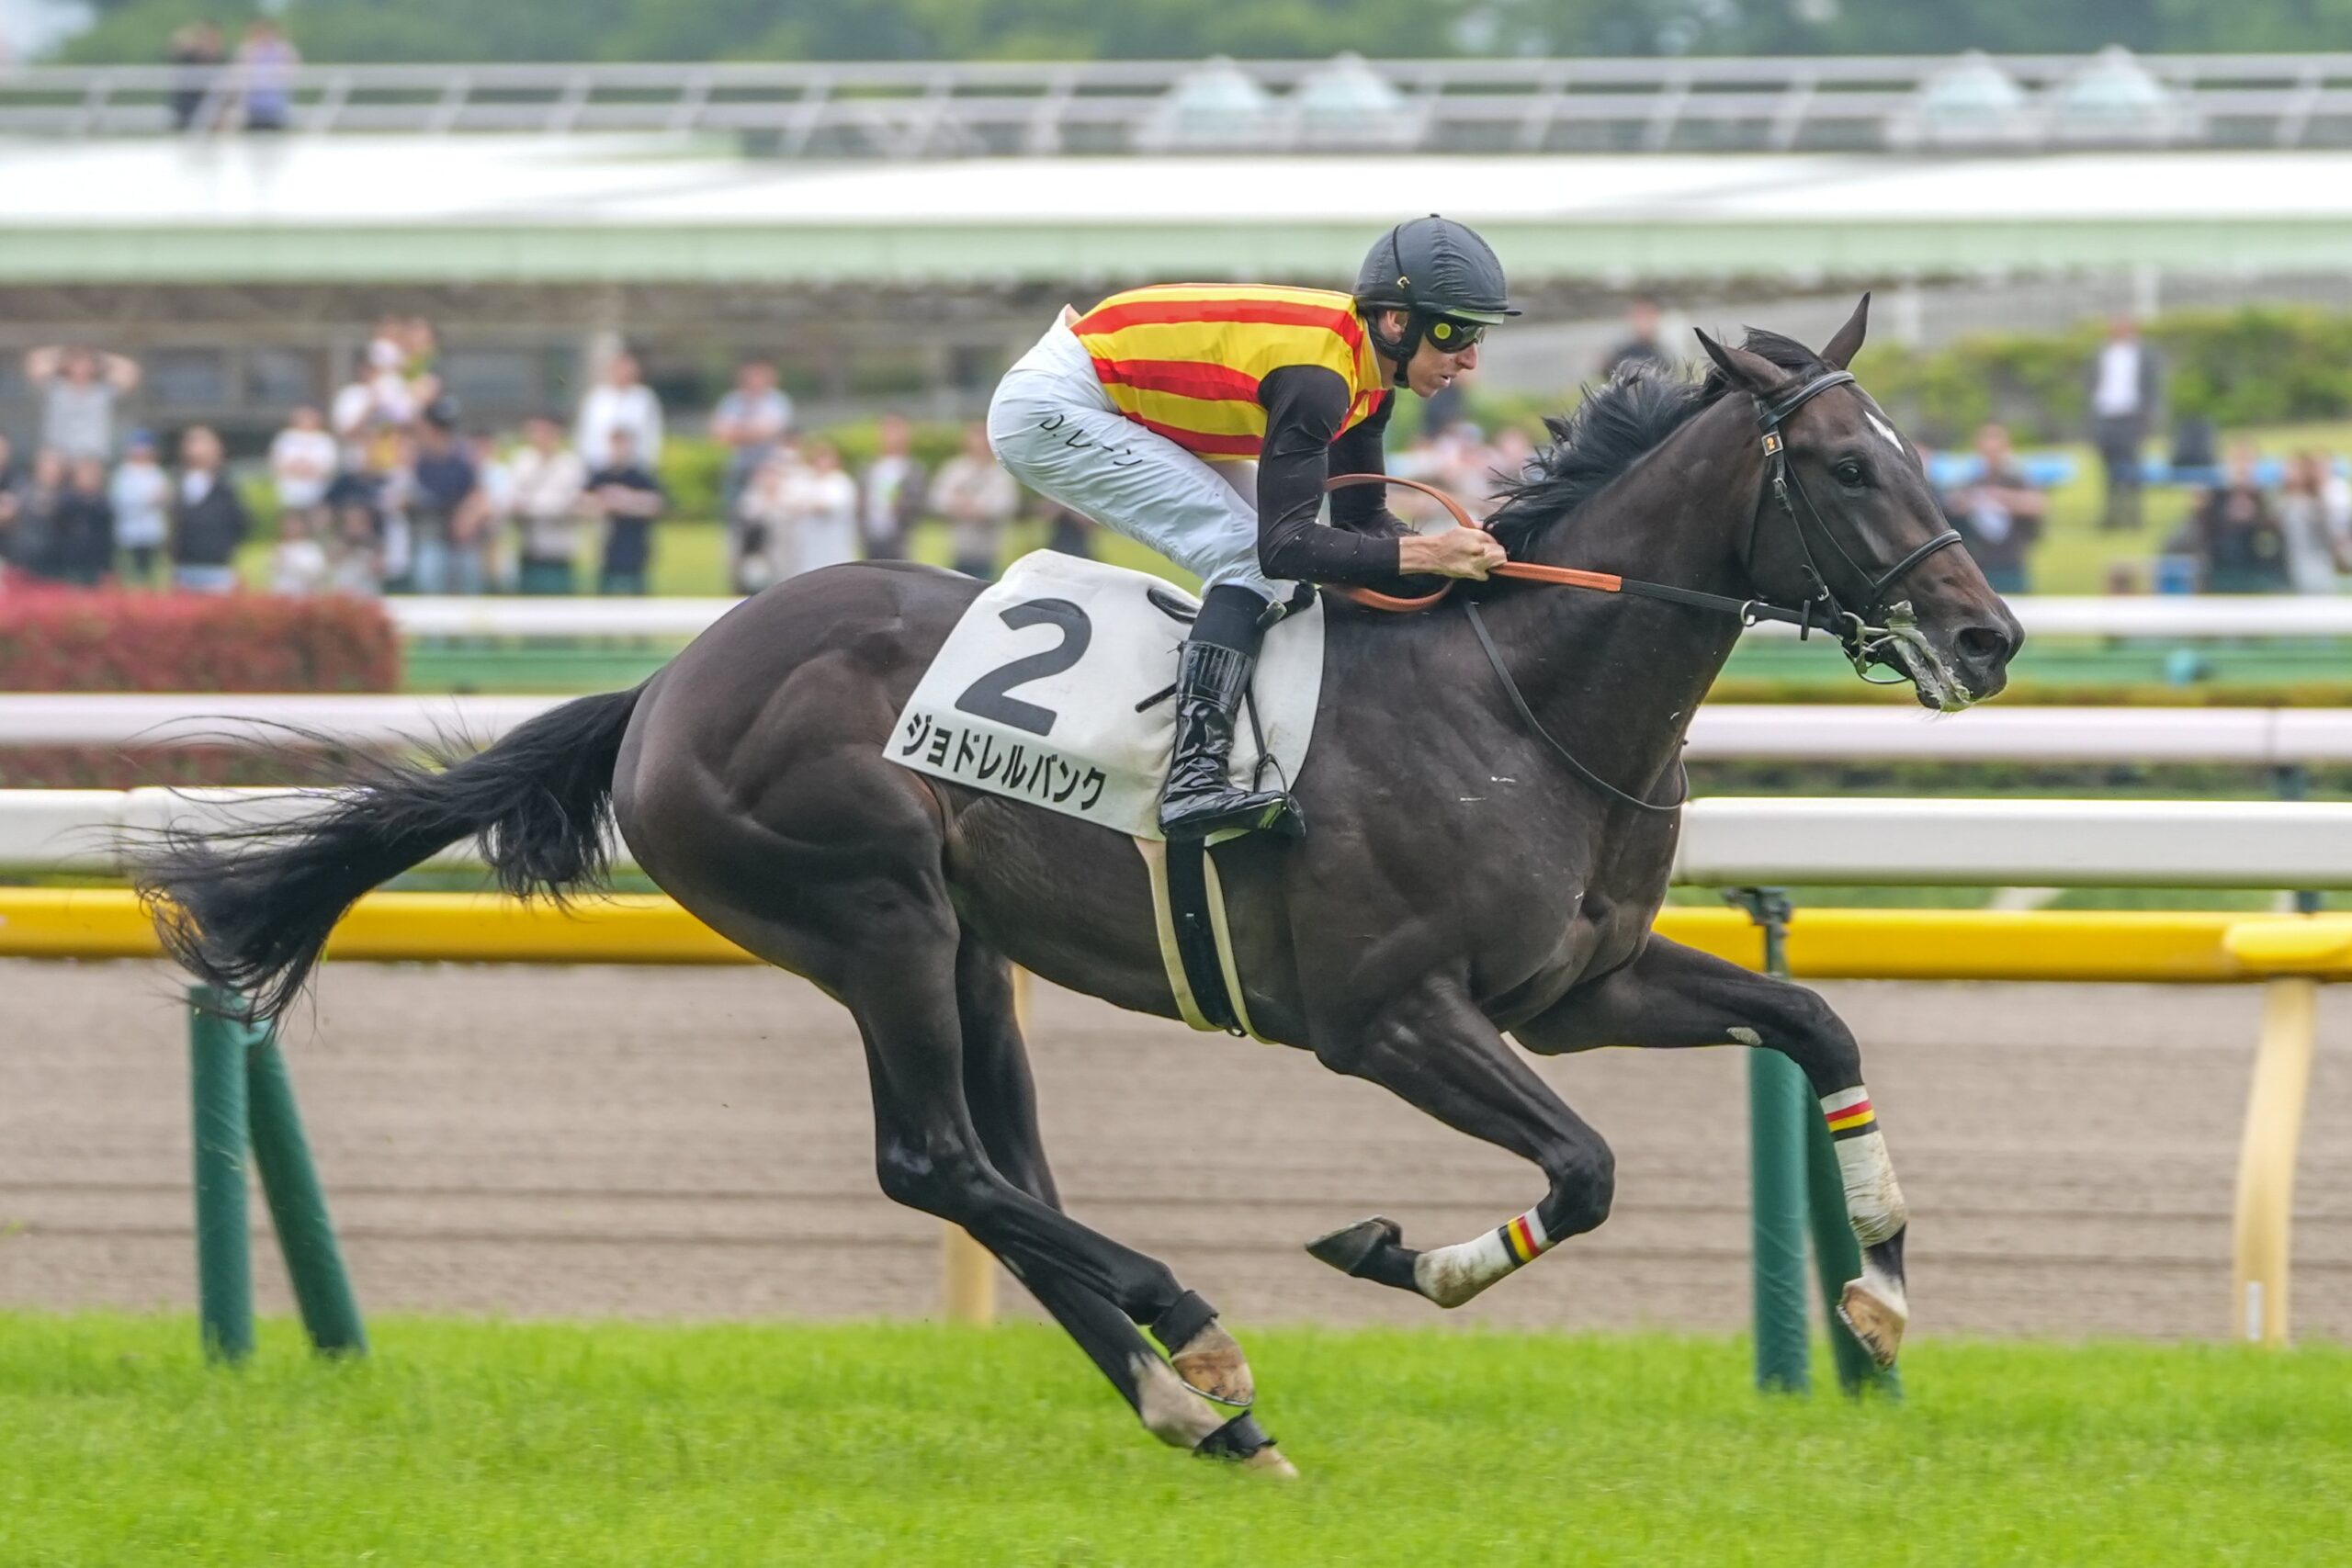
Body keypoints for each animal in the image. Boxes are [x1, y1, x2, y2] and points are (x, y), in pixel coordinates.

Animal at [135, 297, 2019, 1477]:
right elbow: (1588, 1167)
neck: (1520, 696)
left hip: (969, 944)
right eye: (1847, 467)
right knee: (932, 1159)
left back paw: (1203, 1408)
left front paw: (1878, 1292)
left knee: (995, 1168)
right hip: (871, 909)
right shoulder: (1391, 1016)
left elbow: (1816, 1021)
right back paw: (1195, 1332)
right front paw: (1397, 1251)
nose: (1991, 633)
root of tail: (668, 679)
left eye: (1920, 454)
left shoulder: (1583, 986)